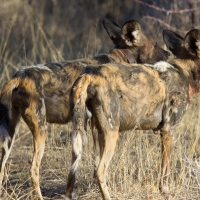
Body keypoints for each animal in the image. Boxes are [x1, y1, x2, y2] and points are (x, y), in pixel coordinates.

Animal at [0, 19, 170, 198]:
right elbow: (98, 164)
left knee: (2, 168)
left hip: (10, 133)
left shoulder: (93, 125)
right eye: (155, 45)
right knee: (33, 169)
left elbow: (96, 163)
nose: (168, 54)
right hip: (41, 129)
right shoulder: (96, 125)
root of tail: (18, 77)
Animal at [67, 28, 200, 200]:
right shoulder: (168, 131)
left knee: (91, 168)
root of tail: (90, 74)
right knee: (100, 171)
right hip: (112, 133)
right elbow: (165, 171)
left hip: (94, 132)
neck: (185, 73)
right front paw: (165, 193)